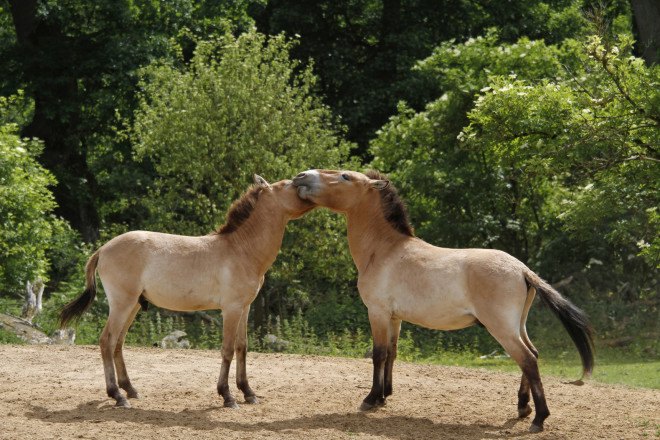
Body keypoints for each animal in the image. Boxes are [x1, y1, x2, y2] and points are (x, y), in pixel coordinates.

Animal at [59, 175, 315, 409]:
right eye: (288, 184)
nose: (306, 184)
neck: (240, 249)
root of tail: (102, 249)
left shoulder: (245, 308)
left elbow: (242, 348)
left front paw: (248, 392)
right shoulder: (231, 310)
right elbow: (227, 350)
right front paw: (227, 396)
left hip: (132, 306)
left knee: (118, 344)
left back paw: (129, 389)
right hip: (122, 305)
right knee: (107, 342)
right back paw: (117, 395)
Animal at [292, 169, 594, 432]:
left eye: (344, 176)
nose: (301, 176)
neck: (384, 251)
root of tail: (522, 270)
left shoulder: (377, 313)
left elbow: (378, 354)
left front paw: (371, 399)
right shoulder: (394, 318)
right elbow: (392, 353)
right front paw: (385, 396)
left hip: (502, 328)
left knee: (528, 359)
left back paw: (538, 419)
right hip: (518, 325)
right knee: (532, 355)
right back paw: (523, 409)